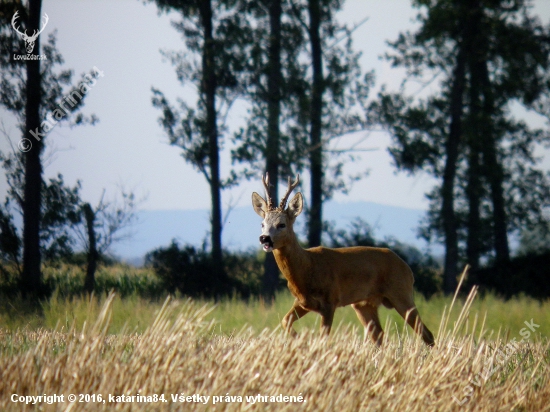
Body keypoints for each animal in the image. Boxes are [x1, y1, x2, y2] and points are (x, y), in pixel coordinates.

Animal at [252, 175, 438, 348]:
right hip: (364, 304)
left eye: (282, 224)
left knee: (426, 334)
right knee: (379, 335)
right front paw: (300, 341)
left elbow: (323, 338)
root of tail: (407, 268)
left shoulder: (330, 301)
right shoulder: (302, 302)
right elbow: (285, 321)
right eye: (262, 224)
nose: (264, 238)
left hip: (401, 292)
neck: (306, 269)